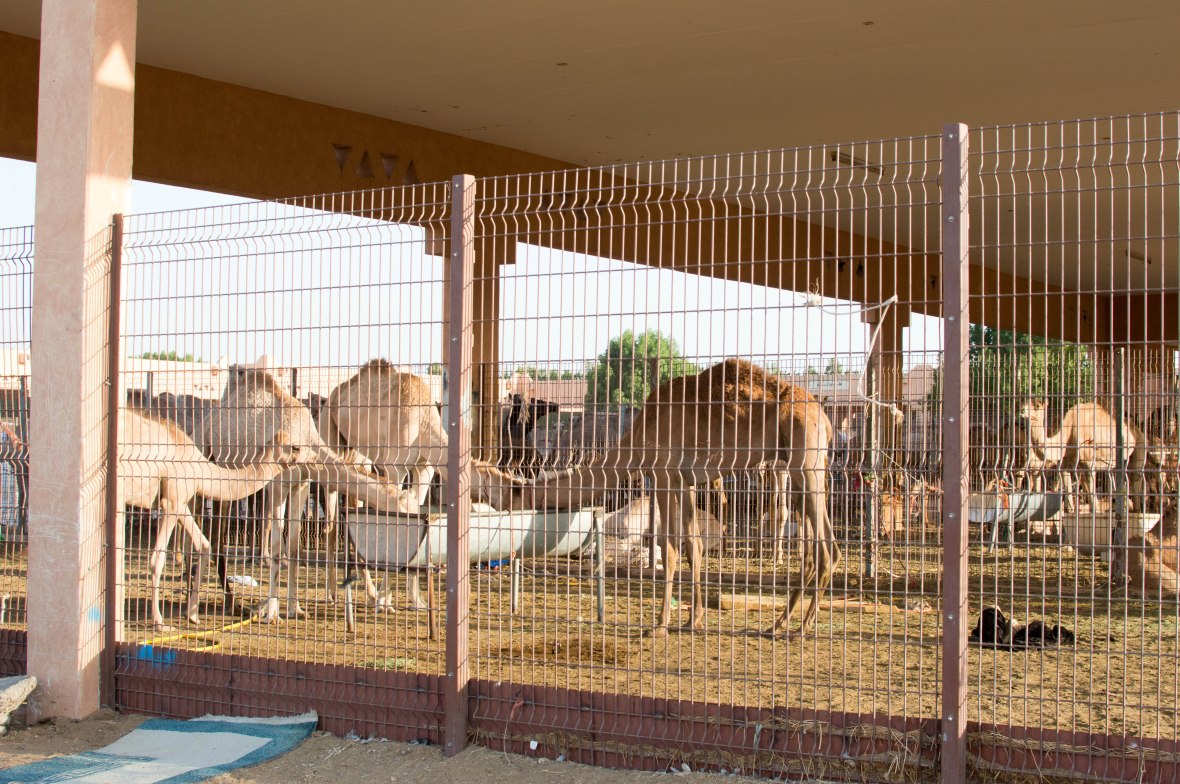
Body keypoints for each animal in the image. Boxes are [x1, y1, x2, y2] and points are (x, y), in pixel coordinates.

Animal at [119, 407, 296, 630]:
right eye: (295, 447)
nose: (315, 458)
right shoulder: (171, 501)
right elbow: (157, 560)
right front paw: (160, 623)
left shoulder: (182, 502)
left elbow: (203, 545)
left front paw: (192, 615)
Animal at [192, 365, 419, 622]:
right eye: (407, 512)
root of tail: (207, 420)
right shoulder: (278, 485)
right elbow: (278, 550)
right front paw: (272, 614)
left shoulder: (300, 485)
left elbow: (292, 548)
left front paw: (295, 608)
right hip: (205, 455)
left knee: (215, 534)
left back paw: (231, 603)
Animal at [316, 359, 528, 611]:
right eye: (517, 493)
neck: (424, 423)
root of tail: (334, 395)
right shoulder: (395, 468)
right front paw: (385, 601)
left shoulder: (424, 467)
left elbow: (416, 515)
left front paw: (415, 600)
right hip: (330, 435)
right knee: (330, 516)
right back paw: (332, 593)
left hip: (360, 454)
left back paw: (369, 593)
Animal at [513, 358, 837, 639]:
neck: (639, 434)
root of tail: (824, 418)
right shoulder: (687, 482)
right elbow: (693, 546)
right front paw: (694, 620)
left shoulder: (663, 474)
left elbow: (668, 549)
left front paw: (659, 625)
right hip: (803, 467)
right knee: (815, 546)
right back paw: (778, 625)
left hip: (804, 461)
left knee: (826, 549)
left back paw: (801, 629)